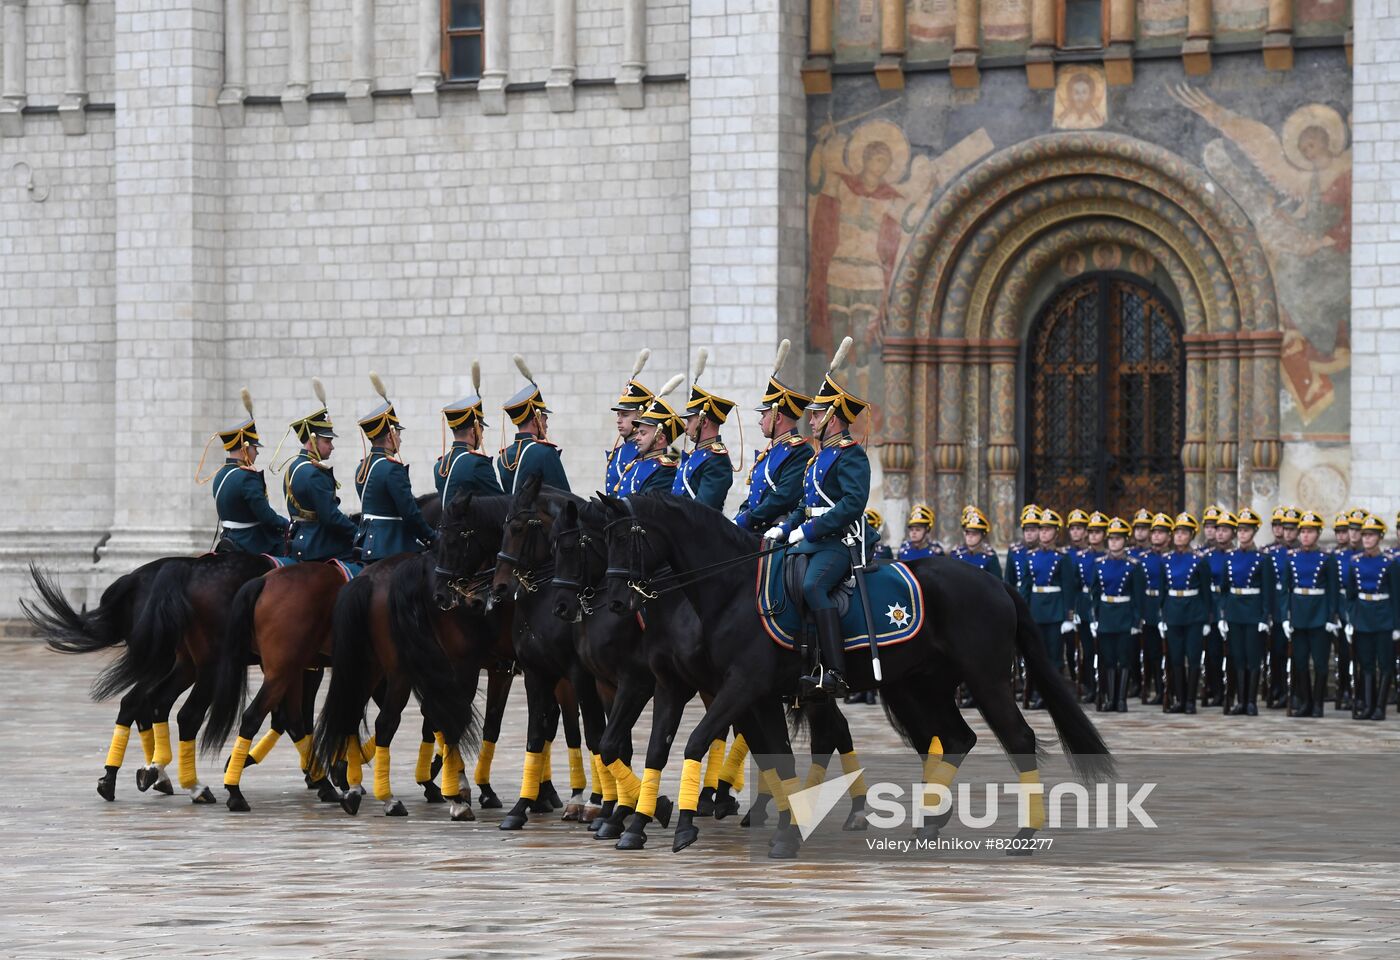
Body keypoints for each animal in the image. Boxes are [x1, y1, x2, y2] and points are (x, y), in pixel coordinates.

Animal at [599, 492, 1114, 862]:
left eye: (626, 538)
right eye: (601, 539)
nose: (616, 602)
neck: (734, 590)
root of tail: (996, 581)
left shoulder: (741, 685)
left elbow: (695, 741)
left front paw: (684, 825)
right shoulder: (744, 693)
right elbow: (769, 757)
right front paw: (785, 832)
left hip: (984, 681)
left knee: (1018, 738)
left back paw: (1025, 833)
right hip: (921, 686)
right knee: (955, 737)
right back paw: (929, 822)